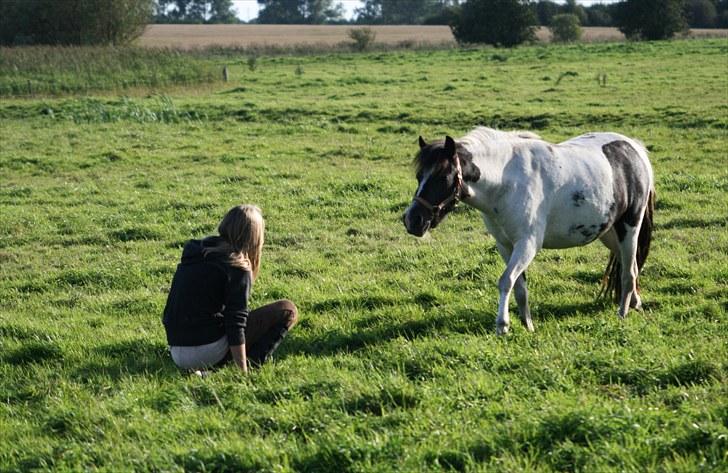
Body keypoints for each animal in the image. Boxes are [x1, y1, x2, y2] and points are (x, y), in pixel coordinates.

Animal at [400, 127, 656, 334]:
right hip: (610, 233)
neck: (506, 182)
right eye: (419, 176)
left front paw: (502, 325)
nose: (412, 220)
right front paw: (527, 324)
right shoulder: (505, 245)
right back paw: (635, 304)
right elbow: (519, 287)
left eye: (443, 176)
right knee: (631, 266)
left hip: (629, 227)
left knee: (628, 272)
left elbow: (505, 281)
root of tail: (634, 149)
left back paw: (622, 313)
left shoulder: (527, 244)